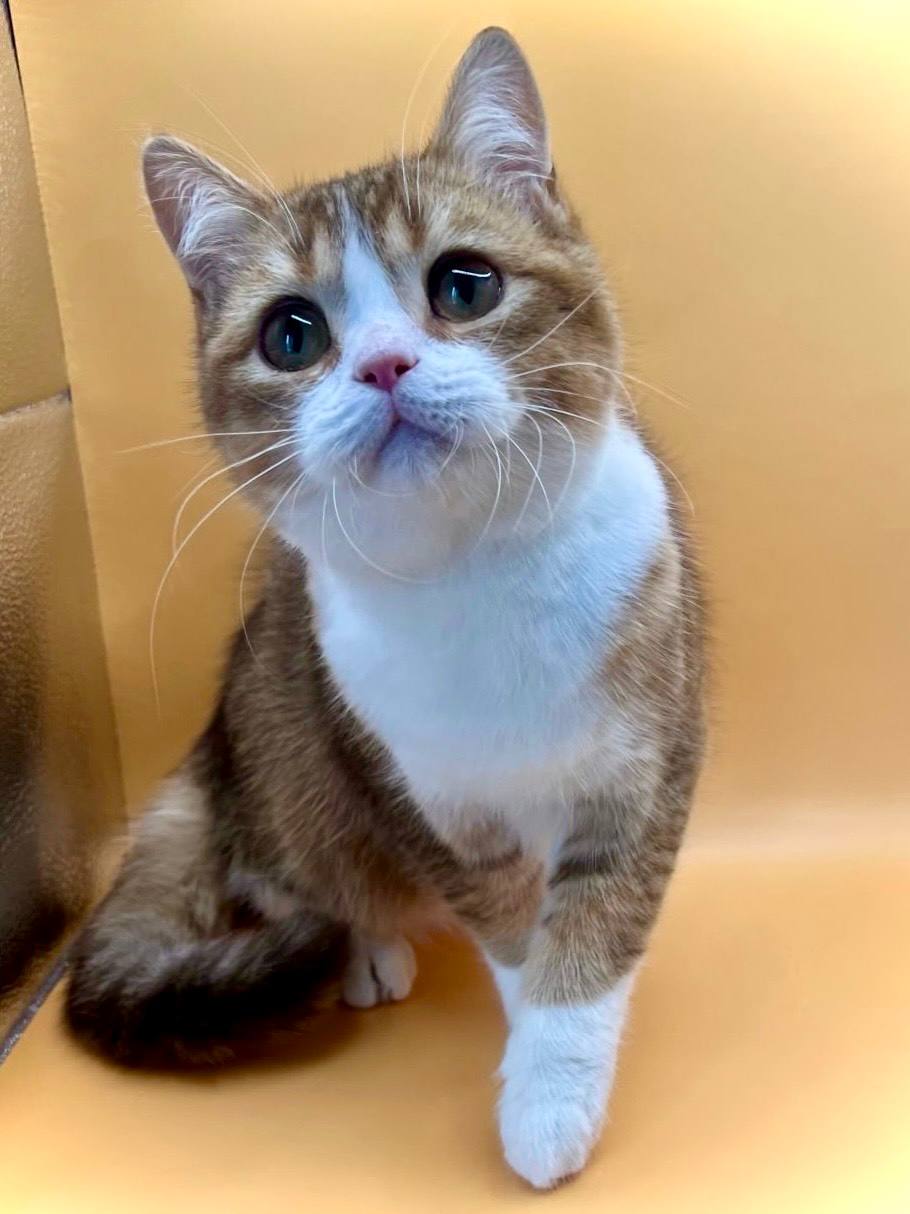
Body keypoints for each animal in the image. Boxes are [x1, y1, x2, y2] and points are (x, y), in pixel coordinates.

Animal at [65, 28, 706, 1189]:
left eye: (464, 285)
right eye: (291, 334)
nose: (383, 363)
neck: (472, 573)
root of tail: (212, 745)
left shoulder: (647, 759)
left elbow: (589, 934)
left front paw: (552, 1091)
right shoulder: (417, 790)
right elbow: (512, 934)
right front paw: (538, 1077)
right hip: (287, 743)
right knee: (286, 871)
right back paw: (361, 944)